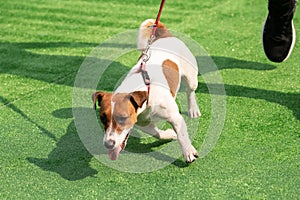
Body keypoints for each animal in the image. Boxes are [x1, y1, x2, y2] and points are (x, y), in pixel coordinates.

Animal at [93, 18, 202, 162]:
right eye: (102, 118)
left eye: (123, 118)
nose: (108, 144)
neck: (147, 92)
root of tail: (165, 35)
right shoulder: (142, 123)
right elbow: (156, 133)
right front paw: (168, 134)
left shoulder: (175, 117)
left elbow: (182, 136)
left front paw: (188, 151)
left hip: (191, 76)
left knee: (190, 91)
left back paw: (193, 109)